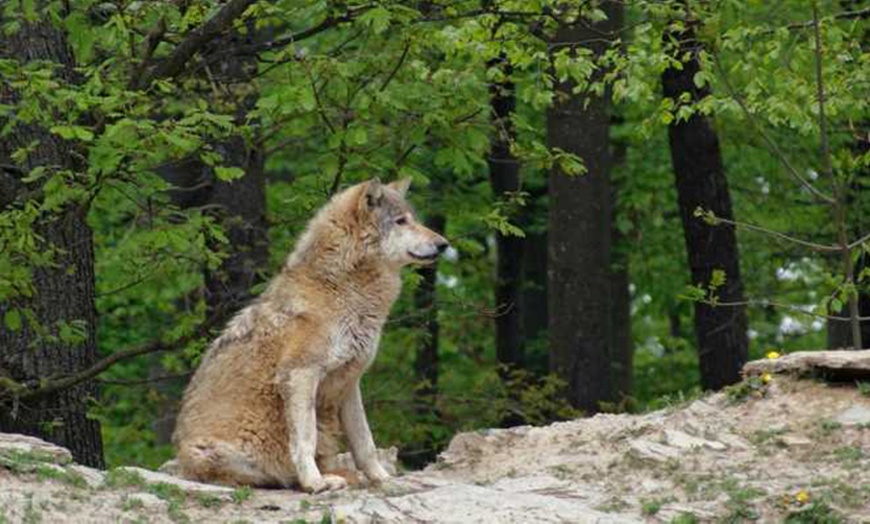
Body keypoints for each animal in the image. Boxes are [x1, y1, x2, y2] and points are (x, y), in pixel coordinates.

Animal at [175, 178, 454, 494]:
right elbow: (305, 439)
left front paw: (383, 480)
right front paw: (314, 482)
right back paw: (313, 479)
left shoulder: (350, 383)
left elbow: (365, 443)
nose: (444, 244)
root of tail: (183, 466)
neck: (342, 291)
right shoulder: (299, 375)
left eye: (413, 219)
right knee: (267, 475)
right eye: (401, 221)